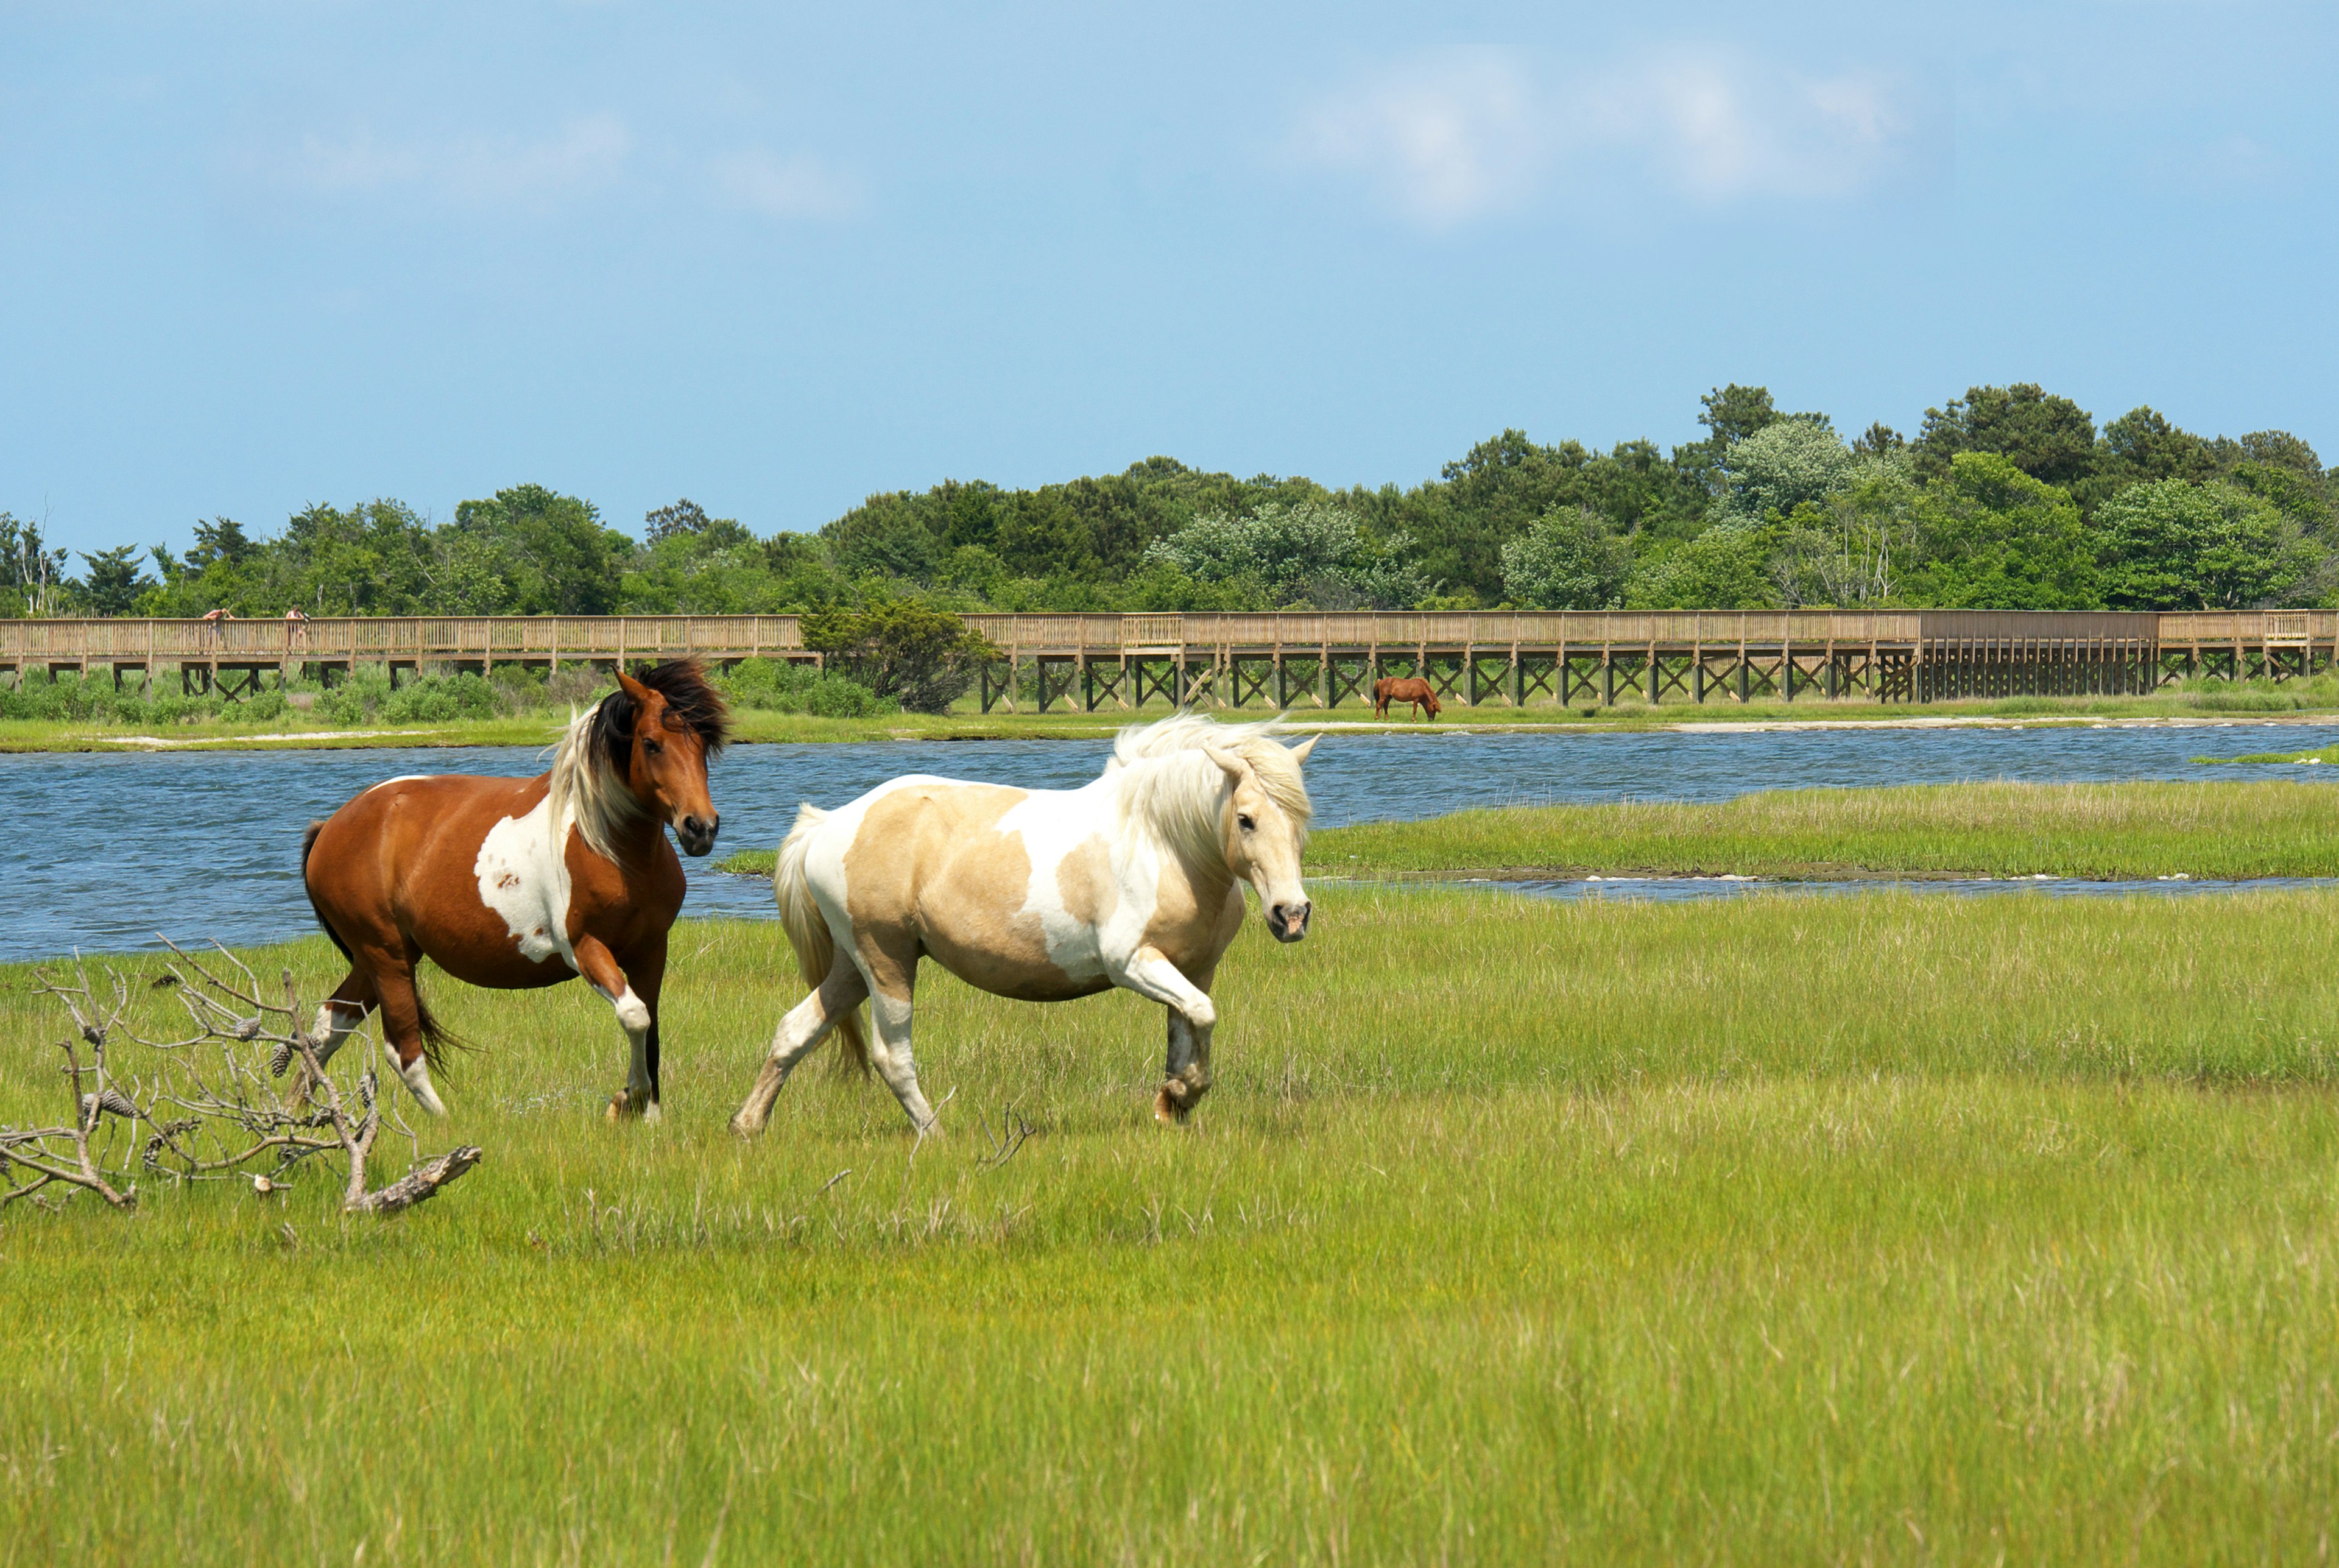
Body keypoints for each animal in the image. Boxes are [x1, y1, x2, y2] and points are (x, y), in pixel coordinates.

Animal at [302, 660, 725, 1118]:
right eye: (651, 744)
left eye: (704, 743)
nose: (700, 827)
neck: (607, 846)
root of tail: (330, 827)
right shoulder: (585, 948)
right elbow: (635, 1016)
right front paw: (629, 1098)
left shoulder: (651, 949)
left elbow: (651, 1033)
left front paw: (647, 1115)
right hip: (387, 958)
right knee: (403, 1052)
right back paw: (446, 1122)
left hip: (376, 958)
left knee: (327, 1027)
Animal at [730, 716, 1319, 1142]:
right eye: (1245, 819)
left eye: (1301, 818)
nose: (1291, 914)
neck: (1163, 842)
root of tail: (829, 824)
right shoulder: (1133, 963)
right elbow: (1203, 1016)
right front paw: (1183, 1094)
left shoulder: (1194, 968)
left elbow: (1187, 1029)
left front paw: (1171, 1103)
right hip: (886, 962)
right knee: (891, 1056)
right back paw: (937, 1135)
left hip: (854, 966)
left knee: (795, 1031)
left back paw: (748, 1125)